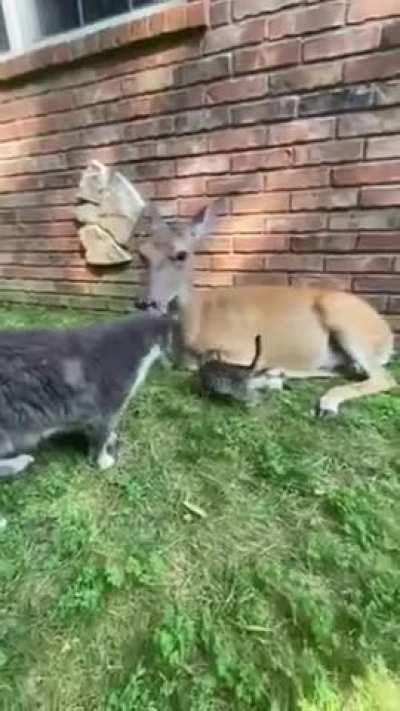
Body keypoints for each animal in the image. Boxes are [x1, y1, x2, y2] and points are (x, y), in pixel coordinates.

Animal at [136, 201, 396, 416]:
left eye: (181, 254)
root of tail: (387, 335)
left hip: (347, 322)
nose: (146, 303)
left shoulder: (241, 349)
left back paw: (326, 404)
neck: (194, 325)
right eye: (142, 254)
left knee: (384, 378)